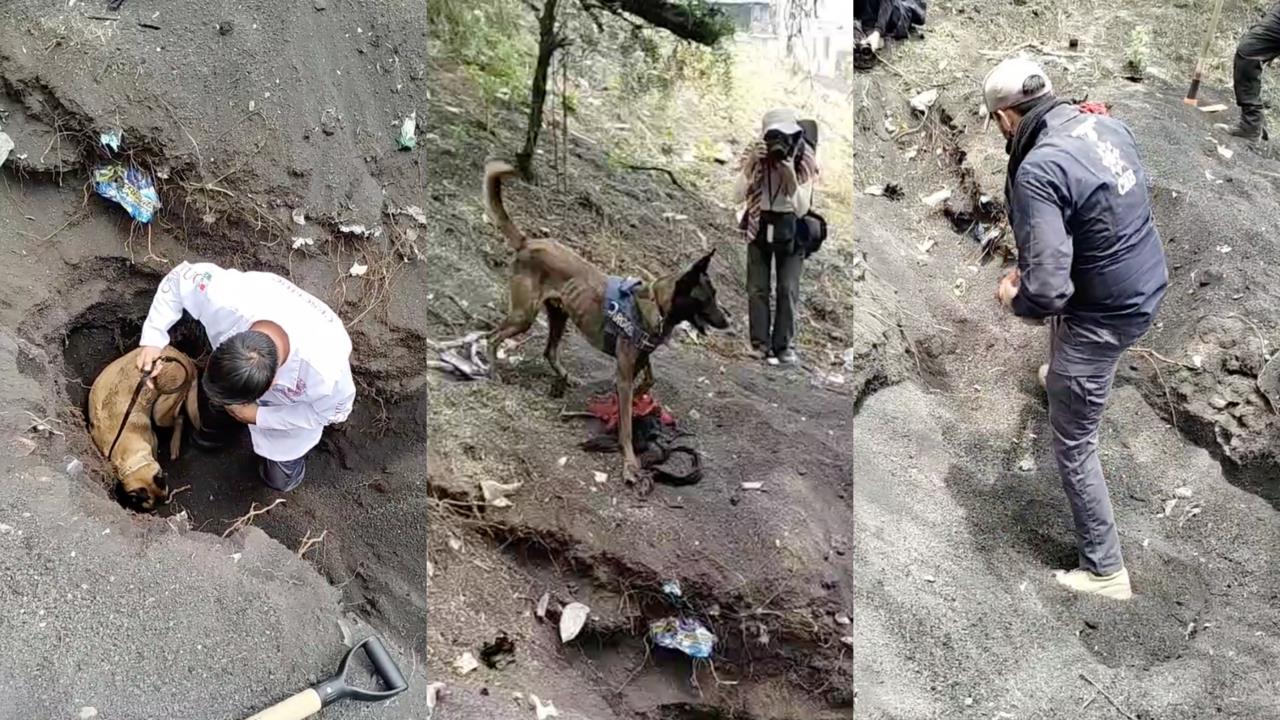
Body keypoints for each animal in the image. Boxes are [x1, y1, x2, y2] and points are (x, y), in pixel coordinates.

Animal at [89, 345, 202, 509]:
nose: (162, 505)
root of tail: (186, 359)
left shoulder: (152, 439)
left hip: (160, 411)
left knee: (179, 419)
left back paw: (174, 445)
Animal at [481, 158, 732, 489]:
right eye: (708, 297)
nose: (728, 321)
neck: (656, 305)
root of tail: (528, 241)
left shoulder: (639, 360)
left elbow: (648, 381)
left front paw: (629, 402)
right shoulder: (624, 372)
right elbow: (626, 422)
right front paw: (629, 464)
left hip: (559, 314)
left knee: (549, 350)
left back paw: (565, 377)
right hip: (524, 316)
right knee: (491, 337)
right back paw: (493, 372)